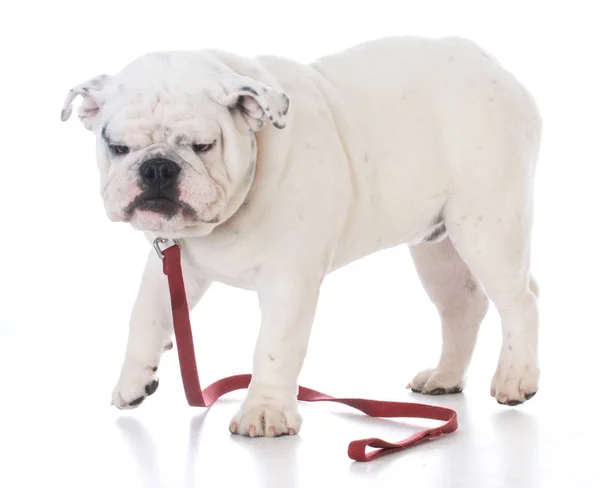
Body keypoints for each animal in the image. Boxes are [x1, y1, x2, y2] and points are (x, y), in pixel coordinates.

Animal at [62, 36, 544, 436]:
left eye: (202, 146)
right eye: (117, 147)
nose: (157, 168)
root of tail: (491, 65)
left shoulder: (289, 282)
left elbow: (274, 347)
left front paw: (264, 413)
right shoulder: (173, 265)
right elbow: (145, 316)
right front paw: (133, 380)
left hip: (487, 227)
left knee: (520, 300)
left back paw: (515, 378)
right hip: (437, 248)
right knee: (462, 306)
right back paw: (444, 378)